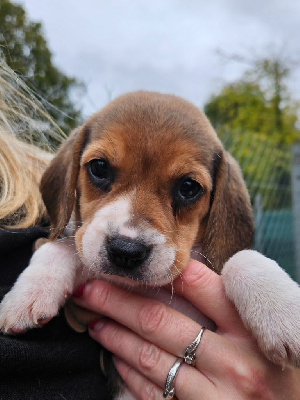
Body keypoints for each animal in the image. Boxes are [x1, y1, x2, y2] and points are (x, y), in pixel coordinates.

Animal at [0, 92, 300, 398]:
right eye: (99, 167)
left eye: (189, 187)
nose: (125, 251)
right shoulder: (83, 311)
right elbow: (60, 247)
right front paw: (27, 294)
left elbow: (241, 259)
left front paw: (284, 313)